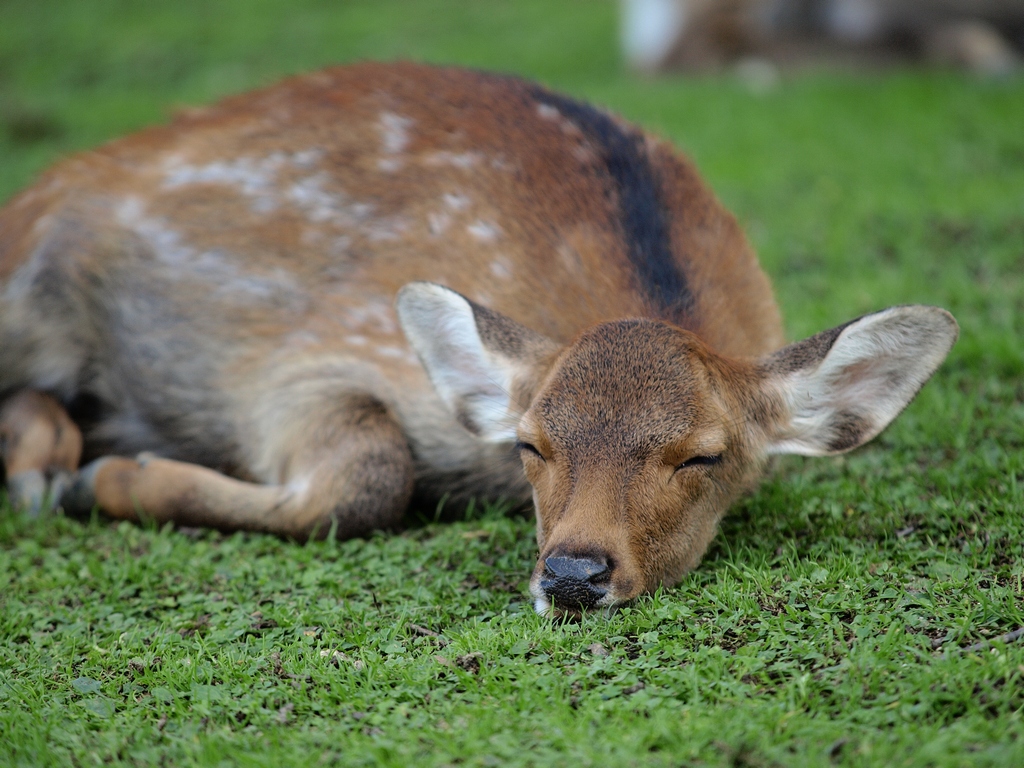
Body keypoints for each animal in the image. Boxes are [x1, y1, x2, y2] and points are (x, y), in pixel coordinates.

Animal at [0, 62, 957, 617]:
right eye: (530, 442)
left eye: (704, 456)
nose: (573, 575)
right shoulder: (301, 360)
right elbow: (370, 475)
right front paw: (109, 478)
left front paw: (97, 472)